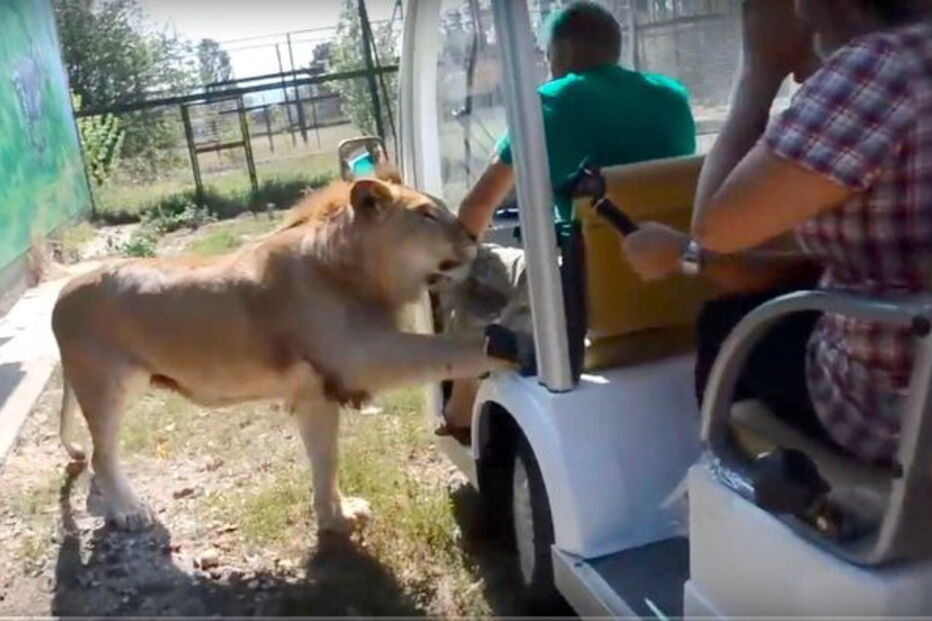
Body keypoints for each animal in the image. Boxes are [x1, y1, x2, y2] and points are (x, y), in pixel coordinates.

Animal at [52, 175, 513, 532]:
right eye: (427, 214)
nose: (474, 237)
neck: (359, 269)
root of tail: (62, 291)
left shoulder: (316, 393)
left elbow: (326, 460)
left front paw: (335, 517)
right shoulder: (363, 356)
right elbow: (447, 350)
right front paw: (510, 343)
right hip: (107, 388)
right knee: (101, 455)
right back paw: (128, 511)